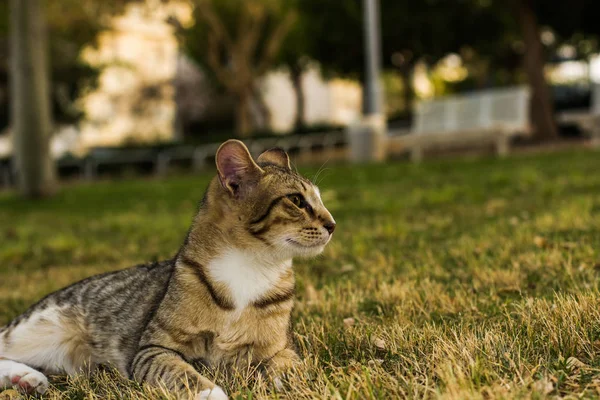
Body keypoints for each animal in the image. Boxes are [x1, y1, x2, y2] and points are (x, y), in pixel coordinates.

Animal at [0, 139, 336, 398]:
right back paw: (25, 377)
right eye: (296, 200)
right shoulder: (153, 349)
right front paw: (211, 393)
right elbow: (182, 372)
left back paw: (26, 379)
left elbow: (292, 367)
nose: (333, 225)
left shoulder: (280, 347)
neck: (252, 266)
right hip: (35, 329)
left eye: (319, 200)